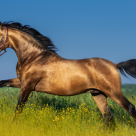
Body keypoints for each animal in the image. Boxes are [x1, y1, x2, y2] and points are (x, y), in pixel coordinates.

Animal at [0, 21, 136, 125]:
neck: (33, 57)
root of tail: (115, 65)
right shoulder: (20, 81)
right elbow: (2, 83)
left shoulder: (27, 85)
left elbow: (18, 109)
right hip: (98, 93)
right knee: (108, 116)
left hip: (113, 92)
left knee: (130, 108)